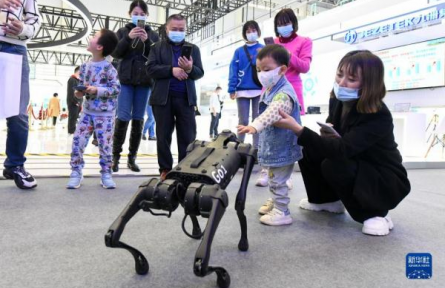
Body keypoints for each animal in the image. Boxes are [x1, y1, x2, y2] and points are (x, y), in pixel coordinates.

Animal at [104, 130, 255, 288]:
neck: (220, 141)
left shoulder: (247, 154)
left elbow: (239, 203)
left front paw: (240, 248)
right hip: (154, 187)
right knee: (112, 237)